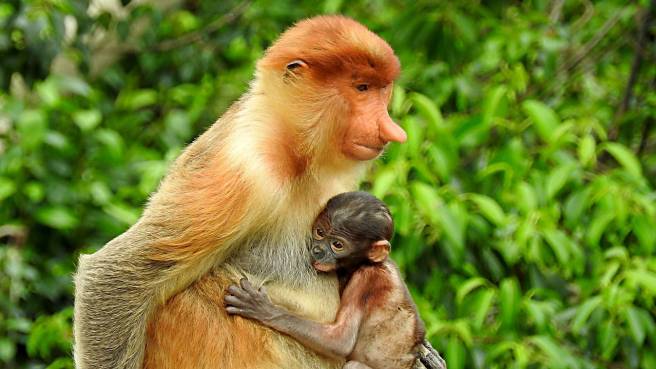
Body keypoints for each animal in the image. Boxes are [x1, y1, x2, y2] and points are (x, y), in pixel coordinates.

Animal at [224, 191, 446, 368]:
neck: (367, 263)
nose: (317, 250)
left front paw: (263, 309)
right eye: (319, 232)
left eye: (337, 245)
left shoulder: (365, 280)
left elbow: (341, 341)